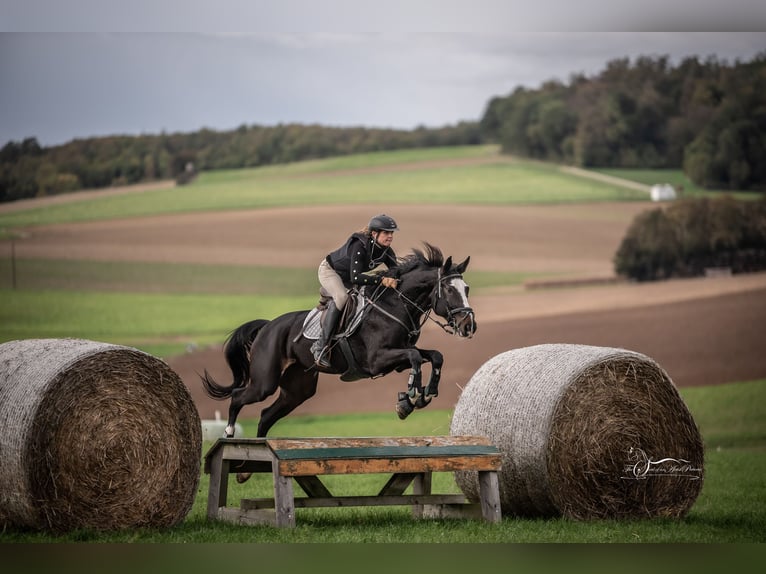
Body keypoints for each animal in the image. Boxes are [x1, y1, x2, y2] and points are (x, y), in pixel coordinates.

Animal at [201, 243, 476, 440]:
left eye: (467, 289)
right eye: (449, 290)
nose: (469, 326)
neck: (394, 305)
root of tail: (267, 326)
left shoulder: (398, 357)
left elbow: (434, 356)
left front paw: (425, 394)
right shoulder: (377, 360)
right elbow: (417, 357)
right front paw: (408, 398)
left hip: (298, 388)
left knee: (266, 415)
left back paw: (250, 465)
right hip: (264, 382)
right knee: (238, 397)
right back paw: (229, 434)